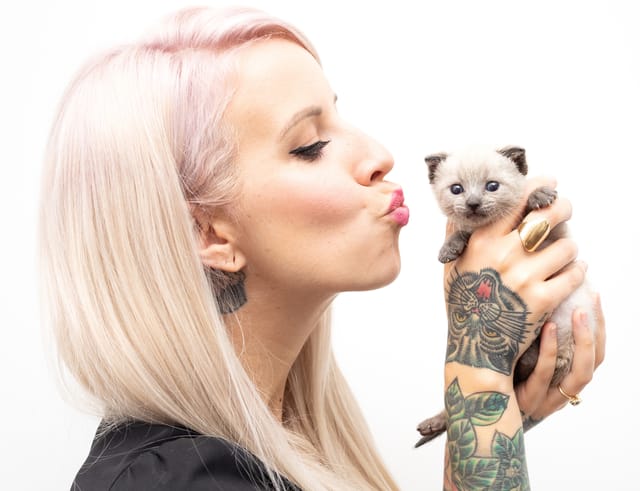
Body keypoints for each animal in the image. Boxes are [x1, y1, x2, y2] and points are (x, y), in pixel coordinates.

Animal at [416, 144, 596, 448]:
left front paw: (539, 196)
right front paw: (449, 248)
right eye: (456, 189)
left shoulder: (557, 236)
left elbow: (527, 212)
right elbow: (462, 231)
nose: (473, 203)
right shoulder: (468, 228)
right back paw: (433, 424)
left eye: (492, 186)